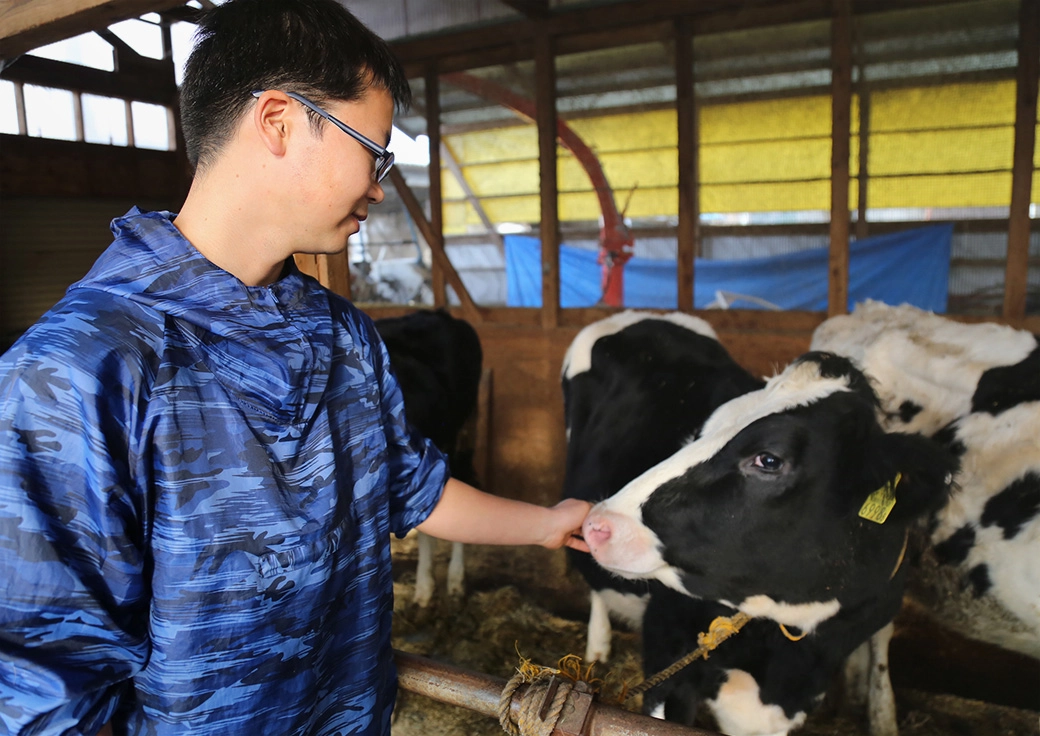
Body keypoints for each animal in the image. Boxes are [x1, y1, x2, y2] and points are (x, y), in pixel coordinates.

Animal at [565, 309, 952, 736]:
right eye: (701, 432)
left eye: (769, 459)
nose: (599, 524)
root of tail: (646, 315)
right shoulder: (668, 654)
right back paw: (597, 647)